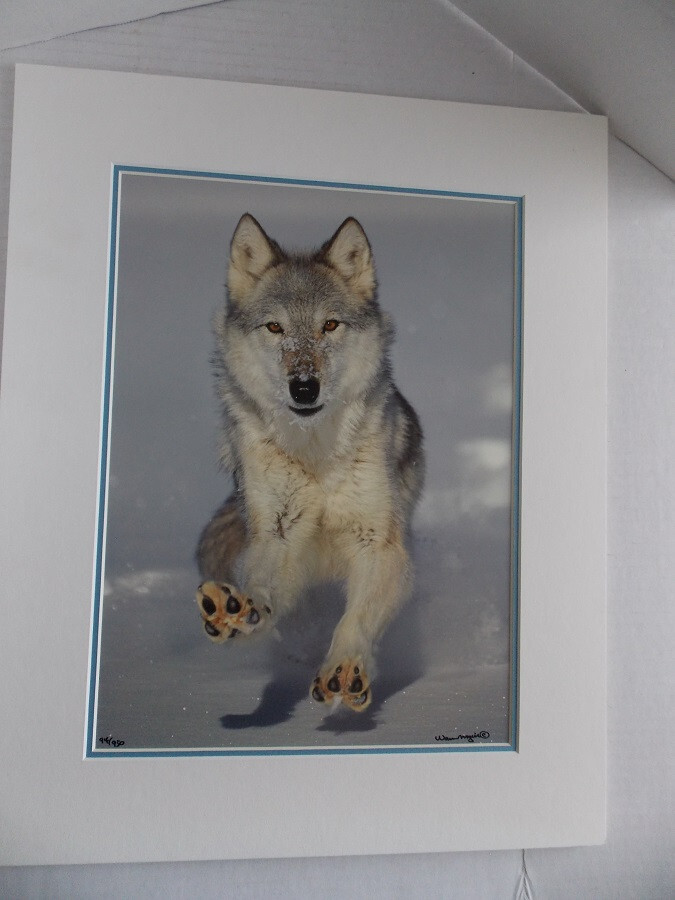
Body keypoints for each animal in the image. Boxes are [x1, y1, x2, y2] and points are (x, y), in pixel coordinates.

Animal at [195, 213, 424, 712]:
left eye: (330, 325)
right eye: (275, 328)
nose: (304, 387)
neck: (315, 453)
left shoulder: (378, 545)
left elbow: (356, 619)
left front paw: (345, 668)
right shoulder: (278, 535)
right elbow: (263, 589)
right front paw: (238, 610)